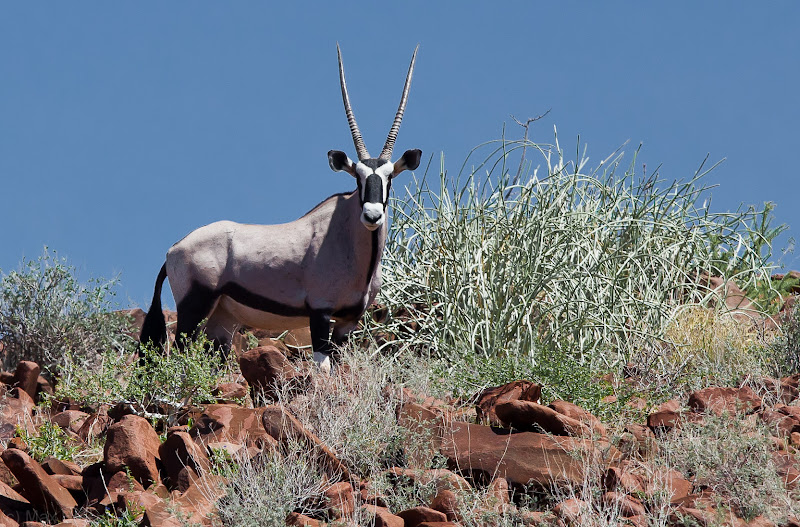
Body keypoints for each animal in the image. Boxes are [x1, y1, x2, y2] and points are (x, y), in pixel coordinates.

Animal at [141, 46, 422, 376]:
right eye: (358, 177)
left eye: (390, 177)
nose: (372, 216)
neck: (346, 239)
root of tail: (173, 249)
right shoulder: (320, 312)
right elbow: (322, 367)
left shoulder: (347, 321)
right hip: (193, 309)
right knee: (179, 353)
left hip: (222, 318)